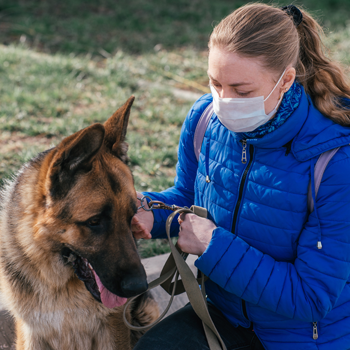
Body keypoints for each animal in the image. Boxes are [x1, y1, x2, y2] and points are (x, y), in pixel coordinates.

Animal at [0, 96, 159, 350]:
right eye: (94, 221)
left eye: (131, 216)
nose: (138, 287)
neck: (58, 283)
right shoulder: (31, 333)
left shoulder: (113, 329)